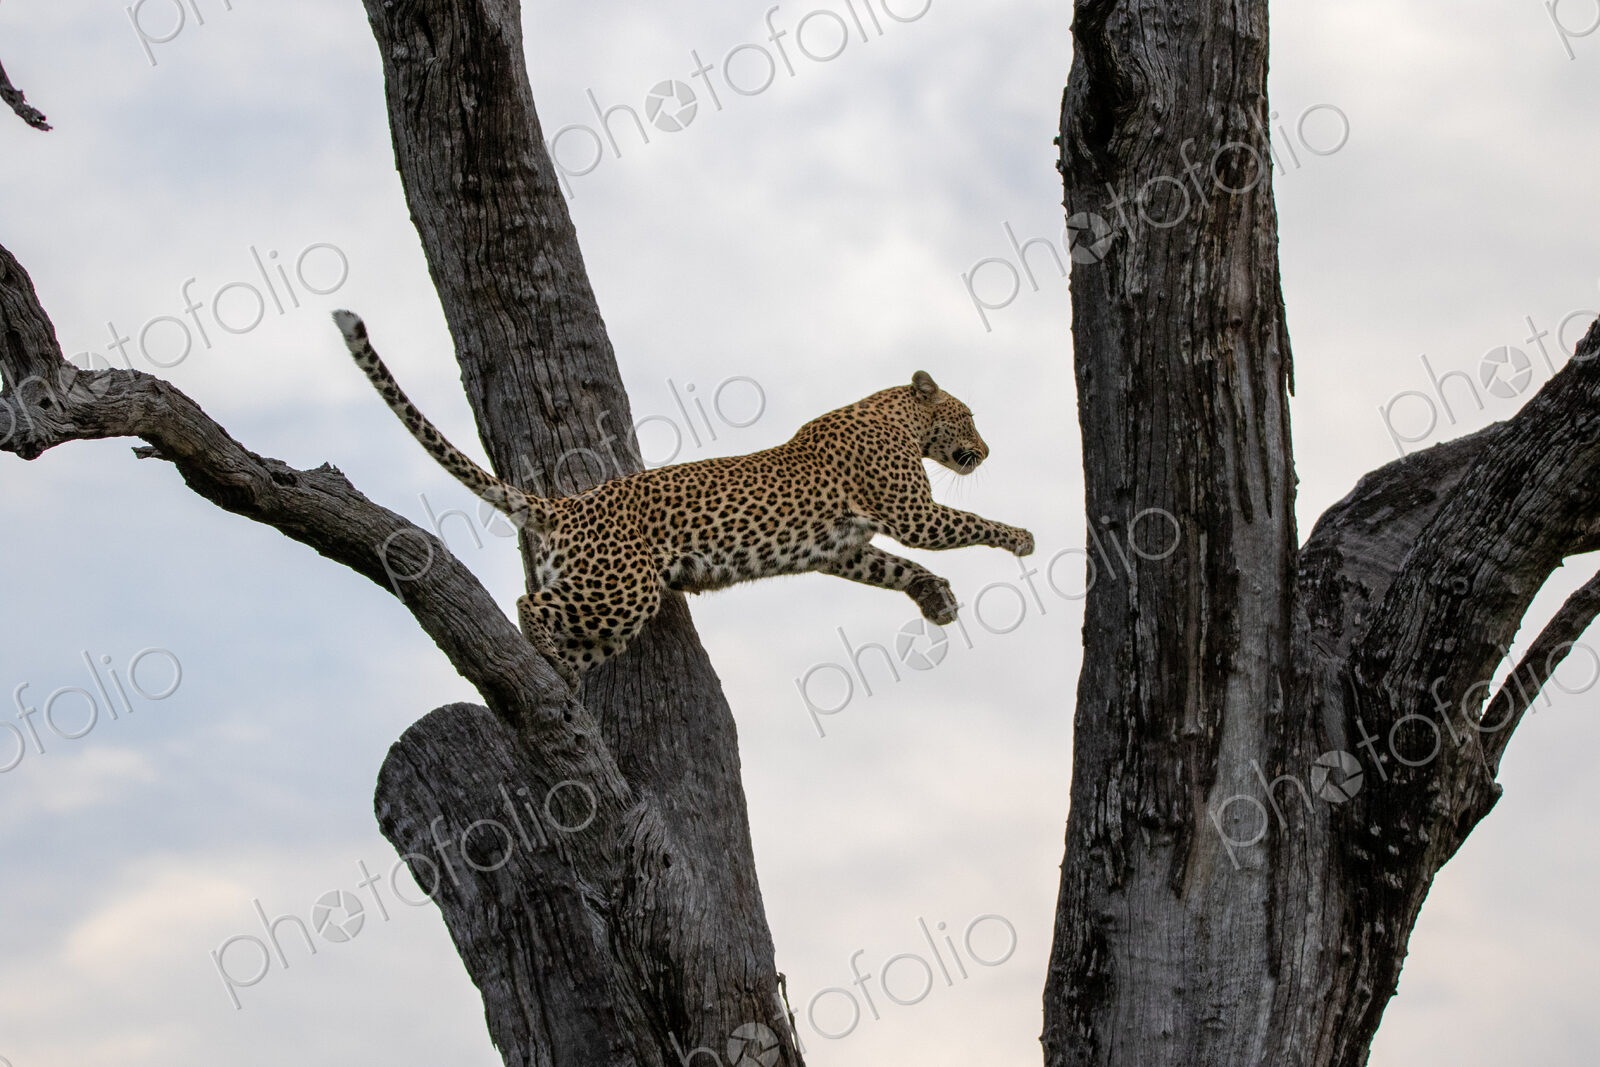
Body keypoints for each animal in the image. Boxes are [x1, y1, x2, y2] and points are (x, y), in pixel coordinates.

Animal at [332, 311, 1035, 686]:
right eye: (968, 417)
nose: (988, 450)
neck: (895, 414)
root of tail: (566, 505)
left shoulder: (843, 548)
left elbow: (896, 567)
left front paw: (936, 598)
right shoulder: (913, 513)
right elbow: (968, 523)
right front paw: (1023, 539)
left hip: (609, 607)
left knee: (573, 639)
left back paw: (564, 680)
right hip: (620, 588)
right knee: (529, 602)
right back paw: (544, 654)